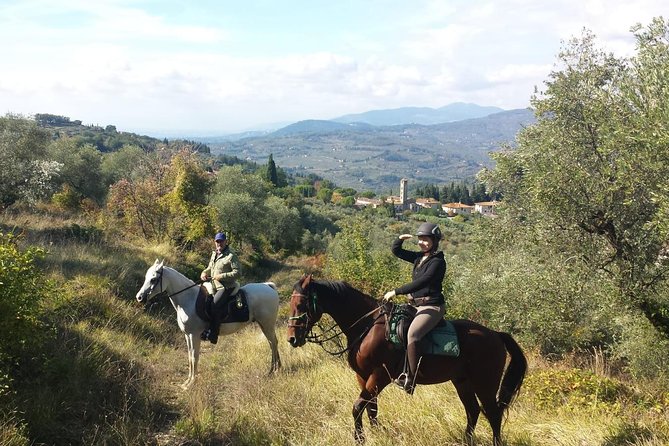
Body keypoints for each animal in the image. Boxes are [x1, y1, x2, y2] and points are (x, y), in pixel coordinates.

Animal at [136, 260, 282, 388]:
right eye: (146, 277)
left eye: (153, 279)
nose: (139, 297)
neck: (188, 299)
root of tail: (268, 286)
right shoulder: (187, 335)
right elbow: (189, 357)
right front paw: (187, 382)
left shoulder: (194, 335)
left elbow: (194, 357)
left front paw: (191, 383)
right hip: (264, 325)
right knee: (271, 343)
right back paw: (273, 370)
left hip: (267, 324)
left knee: (273, 342)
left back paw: (275, 370)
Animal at [288, 274, 528, 444]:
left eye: (301, 305)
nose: (292, 338)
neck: (369, 327)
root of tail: (495, 334)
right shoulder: (363, 377)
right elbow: (371, 408)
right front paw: (377, 434)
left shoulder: (380, 375)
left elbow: (357, 407)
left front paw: (360, 438)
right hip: (462, 382)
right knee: (473, 411)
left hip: (484, 383)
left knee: (493, 414)